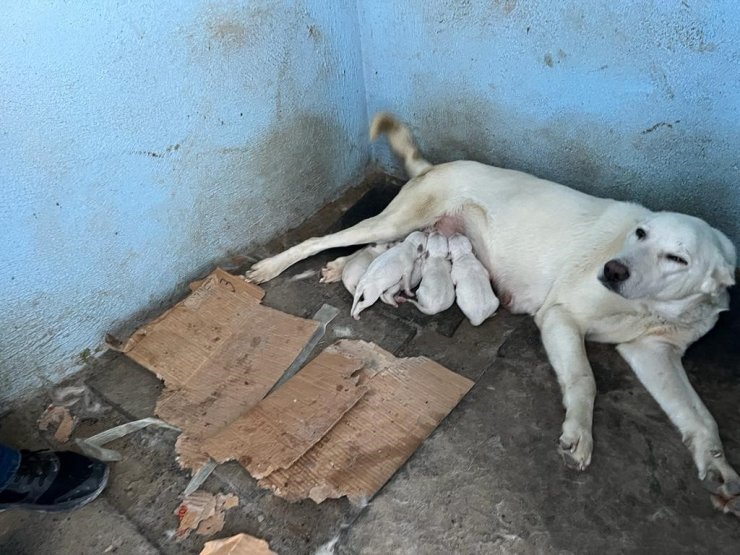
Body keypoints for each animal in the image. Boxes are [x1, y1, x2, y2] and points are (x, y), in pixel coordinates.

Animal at [249, 113, 740, 516]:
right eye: (640, 233)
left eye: (677, 258)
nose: (613, 269)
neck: (649, 306)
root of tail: (434, 166)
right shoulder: (560, 317)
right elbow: (585, 379)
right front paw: (579, 433)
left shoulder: (653, 352)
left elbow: (702, 418)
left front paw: (719, 469)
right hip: (398, 221)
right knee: (325, 240)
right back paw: (274, 266)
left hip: (407, 231)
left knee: (368, 250)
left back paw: (338, 270)